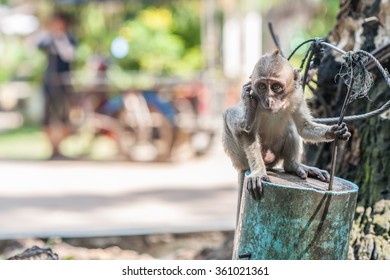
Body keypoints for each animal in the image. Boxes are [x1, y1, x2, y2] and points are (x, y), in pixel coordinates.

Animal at [222, 49, 350, 200]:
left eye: (276, 87)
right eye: (262, 86)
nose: (269, 100)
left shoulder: (297, 96)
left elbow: (303, 127)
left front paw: (334, 131)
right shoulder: (255, 99)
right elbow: (247, 133)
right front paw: (258, 172)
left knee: (291, 128)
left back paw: (292, 165)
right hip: (240, 159)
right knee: (229, 115)